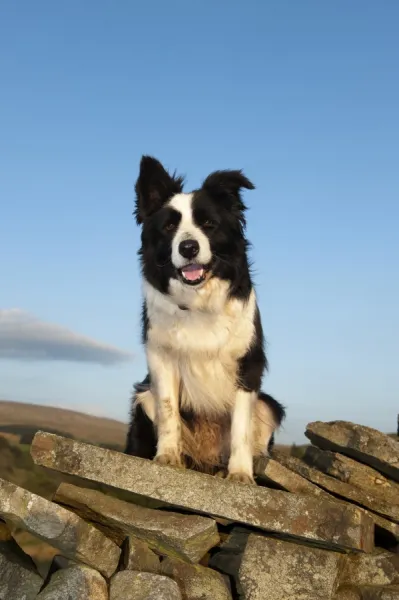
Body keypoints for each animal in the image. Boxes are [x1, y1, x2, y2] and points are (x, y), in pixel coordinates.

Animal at [125, 155, 284, 482]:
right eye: (169, 226)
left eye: (209, 224)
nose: (188, 247)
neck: (198, 301)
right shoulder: (161, 356)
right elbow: (168, 410)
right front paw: (167, 457)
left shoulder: (247, 364)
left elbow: (240, 428)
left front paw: (240, 474)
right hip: (143, 397)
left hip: (268, 405)